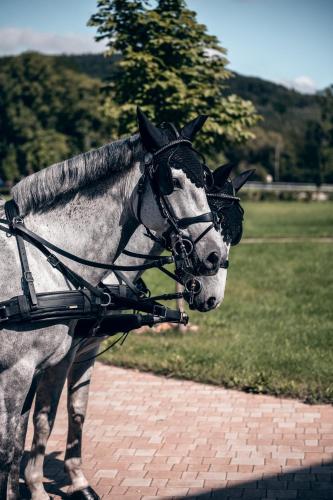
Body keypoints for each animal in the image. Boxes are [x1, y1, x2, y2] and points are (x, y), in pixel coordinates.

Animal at [0, 111, 226, 498]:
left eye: (206, 181)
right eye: (172, 182)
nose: (212, 257)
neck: (46, 260)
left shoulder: (65, 356)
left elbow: (63, 415)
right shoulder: (20, 370)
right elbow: (20, 440)